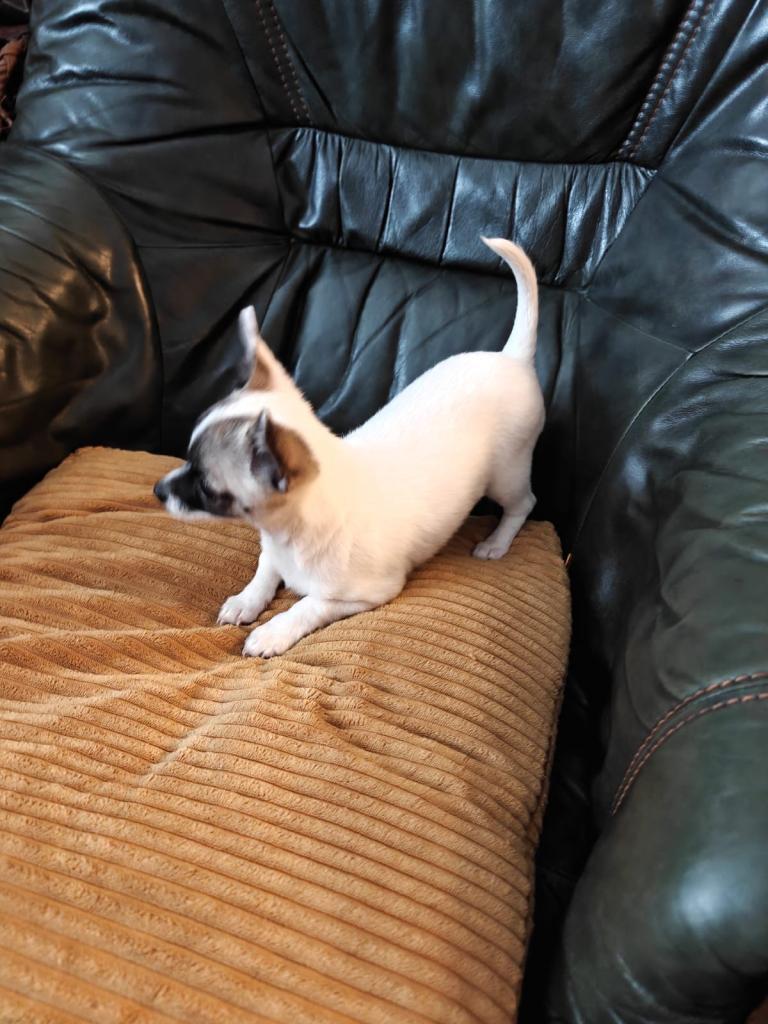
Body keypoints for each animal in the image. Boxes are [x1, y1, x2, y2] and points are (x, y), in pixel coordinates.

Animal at [154, 237, 544, 658]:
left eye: (206, 487)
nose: (157, 490)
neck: (288, 533)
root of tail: (513, 357)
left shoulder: (367, 594)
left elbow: (309, 604)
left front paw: (272, 632)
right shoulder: (273, 552)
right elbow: (265, 569)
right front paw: (246, 600)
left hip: (506, 473)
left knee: (523, 504)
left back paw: (496, 542)